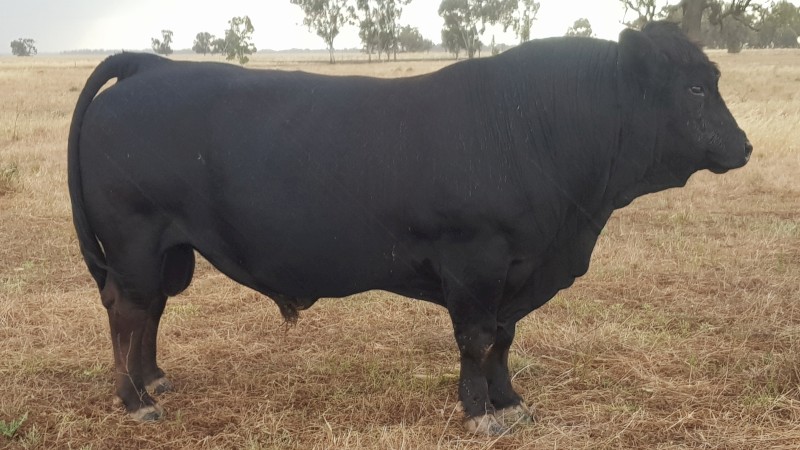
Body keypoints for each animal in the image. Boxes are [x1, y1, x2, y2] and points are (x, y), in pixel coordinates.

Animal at [68, 22, 751, 435]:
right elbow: (477, 338)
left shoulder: (518, 270)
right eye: (696, 88)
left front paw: (510, 402)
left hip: (166, 250)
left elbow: (505, 338)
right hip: (133, 240)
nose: (743, 146)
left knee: (150, 310)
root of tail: (151, 66)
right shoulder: (476, 261)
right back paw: (135, 400)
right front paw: (479, 413)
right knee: (126, 310)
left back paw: (154, 379)